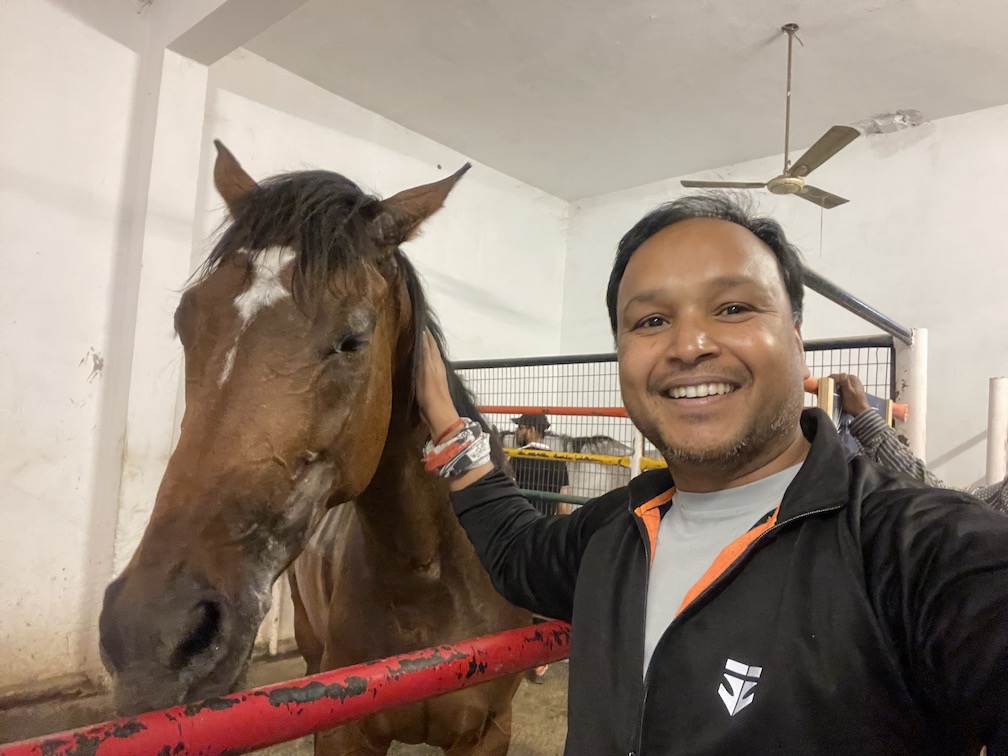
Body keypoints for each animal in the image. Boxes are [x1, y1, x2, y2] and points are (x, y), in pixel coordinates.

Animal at [98, 142, 530, 754]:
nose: (150, 633)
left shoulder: (490, 731)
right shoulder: (346, 730)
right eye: (186, 322)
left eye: (353, 339)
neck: (430, 580)